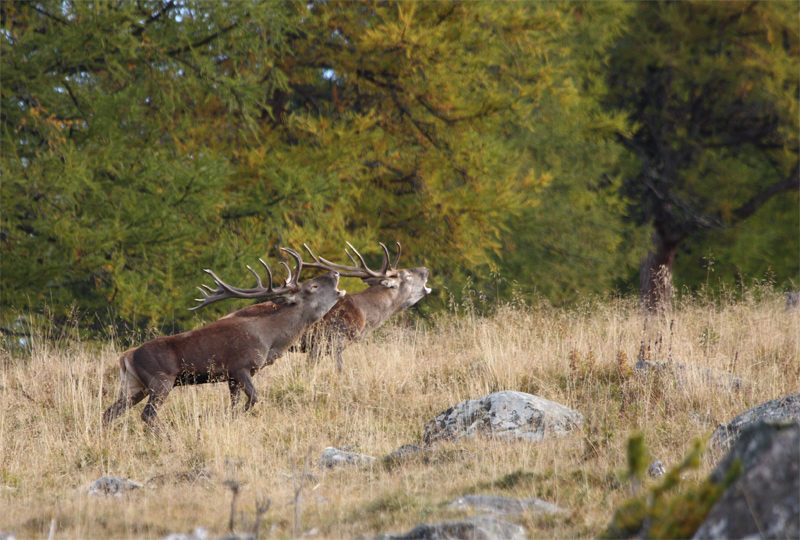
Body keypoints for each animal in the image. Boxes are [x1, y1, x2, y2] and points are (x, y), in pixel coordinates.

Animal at [102, 248, 345, 428]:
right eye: (312, 286)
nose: (335, 273)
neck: (270, 340)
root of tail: (126, 357)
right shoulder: (240, 366)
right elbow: (254, 398)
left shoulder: (231, 377)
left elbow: (236, 405)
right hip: (160, 380)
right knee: (148, 415)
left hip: (135, 385)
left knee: (109, 412)